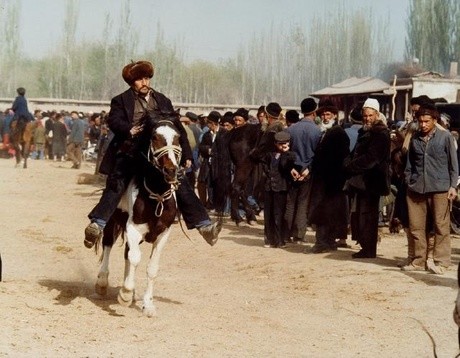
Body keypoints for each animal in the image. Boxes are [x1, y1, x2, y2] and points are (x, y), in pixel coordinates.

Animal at [94, 111, 181, 316]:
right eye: (155, 137)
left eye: (178, 137)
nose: (171, 171)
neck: (156, 195)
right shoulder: (133, 229)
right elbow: (134, 258)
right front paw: (125, 294)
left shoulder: (163, 234)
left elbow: (152, 268)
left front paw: (148, 305)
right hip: (112, 221)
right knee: (108, 245)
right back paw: (103, 282)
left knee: (127, 253)